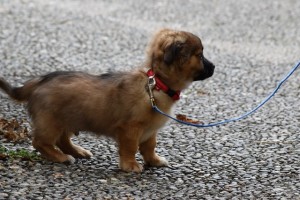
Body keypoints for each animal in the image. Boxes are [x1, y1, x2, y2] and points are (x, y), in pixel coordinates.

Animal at [0, 28, 216, 173]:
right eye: (200, 55)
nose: (214, 67)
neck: (157, 84)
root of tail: (38, 81)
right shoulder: (130, 129)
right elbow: (130, 148)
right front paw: (130, 165)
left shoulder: (150, 131)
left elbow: (149, 147)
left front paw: (154, 161)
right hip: (50, 122)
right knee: (39, 142)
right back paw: (61, 157)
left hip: (67, 119)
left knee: (62, 140)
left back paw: (78, 151)